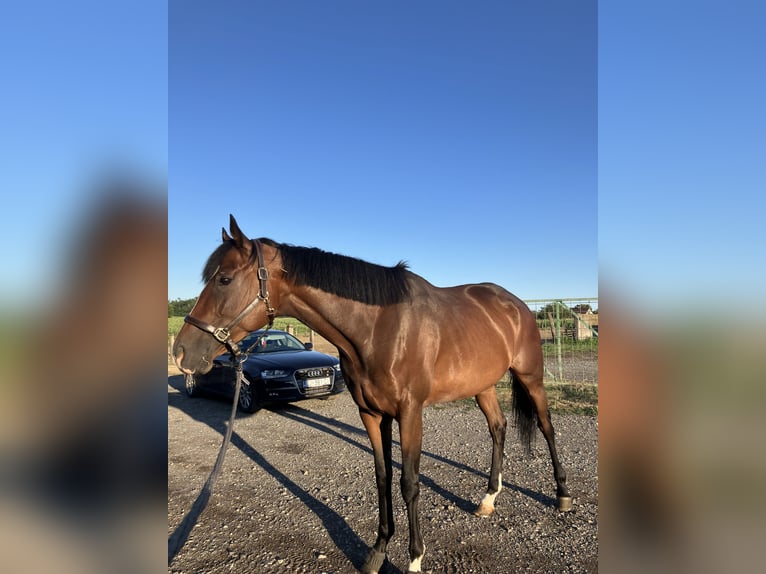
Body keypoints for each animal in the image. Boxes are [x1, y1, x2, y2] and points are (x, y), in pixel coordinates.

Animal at [172, 215, 572, 573]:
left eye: (224, 279)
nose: (181, 353)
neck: (379, 328)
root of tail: (515, 305)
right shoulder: (372, 413)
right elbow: (382, 478)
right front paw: (377, 553)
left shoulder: (410, 412)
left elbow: (409, 482)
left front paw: (414, 560)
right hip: (483, 385)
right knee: (498, 428)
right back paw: (488, 499)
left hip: (531, 377)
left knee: (547, 427)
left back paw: (562, 496)